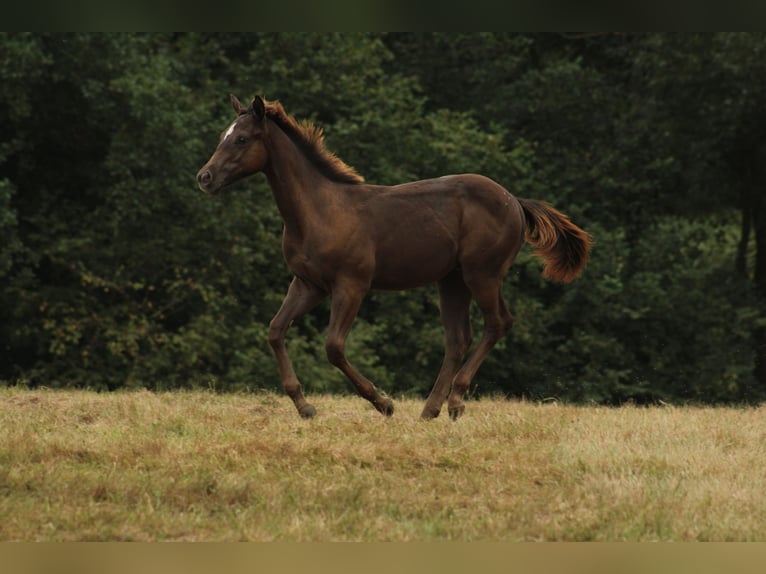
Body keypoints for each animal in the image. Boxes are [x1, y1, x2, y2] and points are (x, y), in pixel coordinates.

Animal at [200, 93, 592, 418]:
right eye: (223, 135)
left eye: (242, 139)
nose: (204, 178)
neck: (319, 211)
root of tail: (515, 201)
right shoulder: (309, 284)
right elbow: (275, 330)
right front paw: (305, 406)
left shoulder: (352, 284)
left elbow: (333, 347)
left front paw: (383, 402)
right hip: (451, 280)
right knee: (458, 339)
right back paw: (430, 410)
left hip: (482, 274)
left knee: (497, 324)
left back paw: (455, 401)